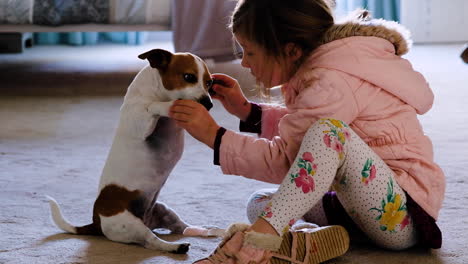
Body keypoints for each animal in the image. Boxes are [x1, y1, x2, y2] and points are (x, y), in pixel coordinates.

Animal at [46, 48, 222, 254]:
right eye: (189, 77)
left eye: (209, 82)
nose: (208, 104)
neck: (156, 91)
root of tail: (97, 222)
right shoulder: (140, 121)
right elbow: (152, 106)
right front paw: (168, 106)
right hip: (132, 225)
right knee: (152, 241)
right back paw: (175, 247)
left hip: (164, 211)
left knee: (186, 229)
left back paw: (214, 231)